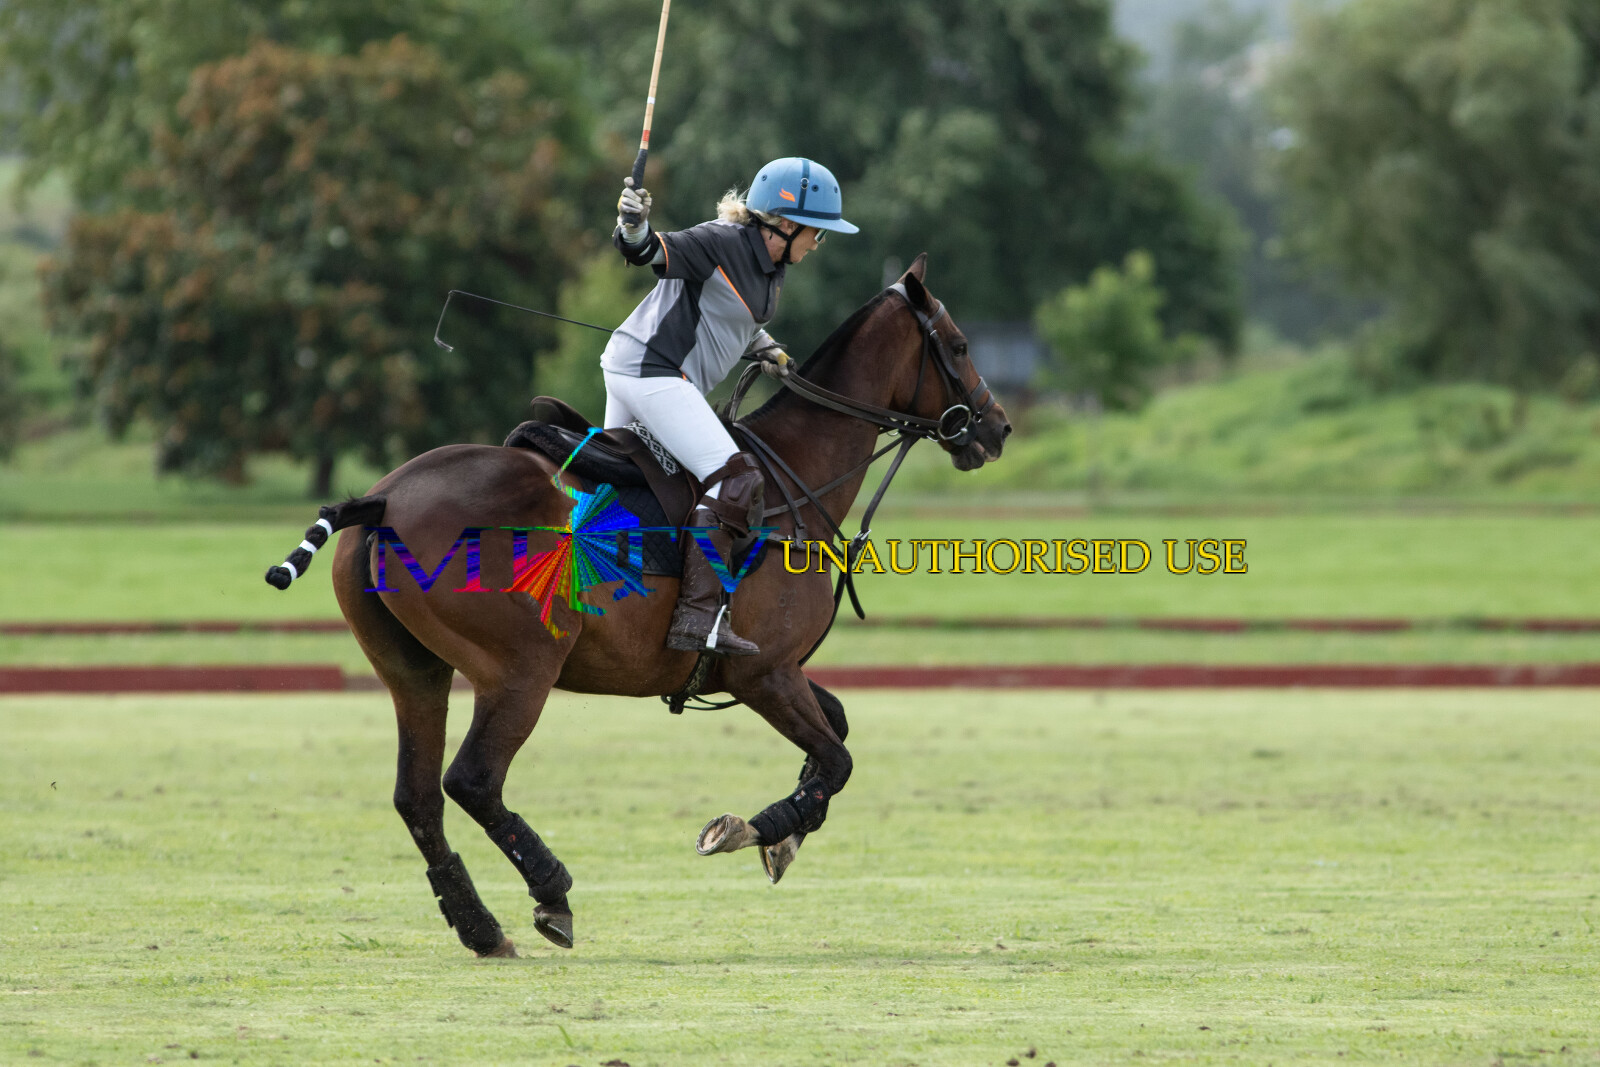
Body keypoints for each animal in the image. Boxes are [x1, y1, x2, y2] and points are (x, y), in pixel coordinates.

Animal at [265, 254, 1010, 957]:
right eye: (960, 344)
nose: (997, 429)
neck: (794, 480)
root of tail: (383, 497)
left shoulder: (765, 670)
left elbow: (838, 729)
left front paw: (783, 839)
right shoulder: (763, 671)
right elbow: (837, 758)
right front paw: (747, 830)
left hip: (414, 671)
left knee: (416, 796)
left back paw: (480, 927)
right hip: (520, 669)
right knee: (472, 781)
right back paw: (551, 895)